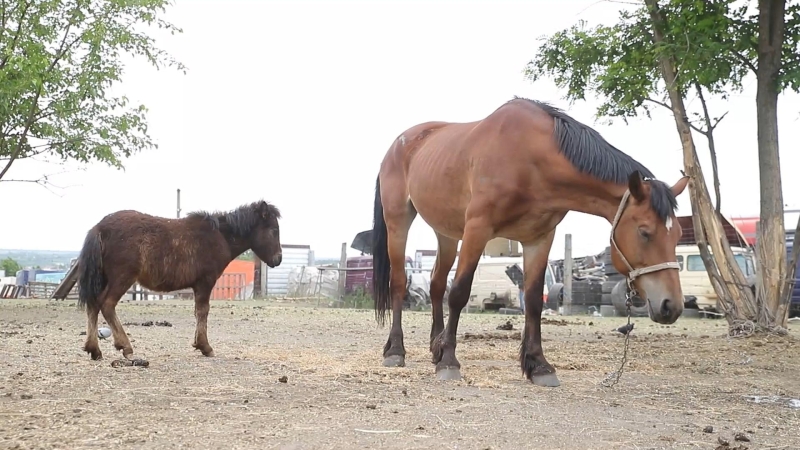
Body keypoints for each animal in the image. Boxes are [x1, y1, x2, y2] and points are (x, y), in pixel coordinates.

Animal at [76, 200, 282, 362]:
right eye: (274, 230)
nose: (278, 259)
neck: (219, 236)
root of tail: (100, 228)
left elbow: (198, 312)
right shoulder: (205, 282)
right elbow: (203, 311)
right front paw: (205, 346)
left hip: (104, 279)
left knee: (93, 305)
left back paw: (94, 350)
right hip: (122, 278)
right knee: (107, 305)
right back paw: (125, 347)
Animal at [372, 98, 692, 386]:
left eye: (677, 235)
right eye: (644, 232)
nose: (671, 306)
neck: (530, 158)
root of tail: (398, 145)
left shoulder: (540, 238)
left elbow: (535, 300)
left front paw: (538, 365)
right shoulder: (478, 228)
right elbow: (460, 293)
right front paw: (449, 362)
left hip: (447, 233)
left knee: (437, 284)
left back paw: (434, 348)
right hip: (399, 221)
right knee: (399, 283)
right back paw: (396, 351)